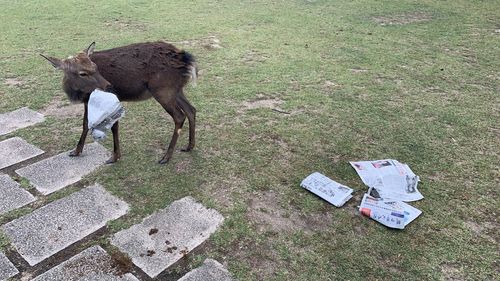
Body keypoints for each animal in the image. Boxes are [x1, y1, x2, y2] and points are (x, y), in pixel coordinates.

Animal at [41, 41, 197, 164]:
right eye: (82, 73)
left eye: (95, 67)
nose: (108, 86)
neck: (80, 94)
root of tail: (186, 59)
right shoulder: (88, 101)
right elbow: (85, 124)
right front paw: (76, 151)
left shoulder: (111, 99)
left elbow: (113, 126)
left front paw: (115, 157)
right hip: (176, 89)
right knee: (191, 109)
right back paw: (189, 146)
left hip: (163, 90)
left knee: (179, 116)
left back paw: (166, 157)